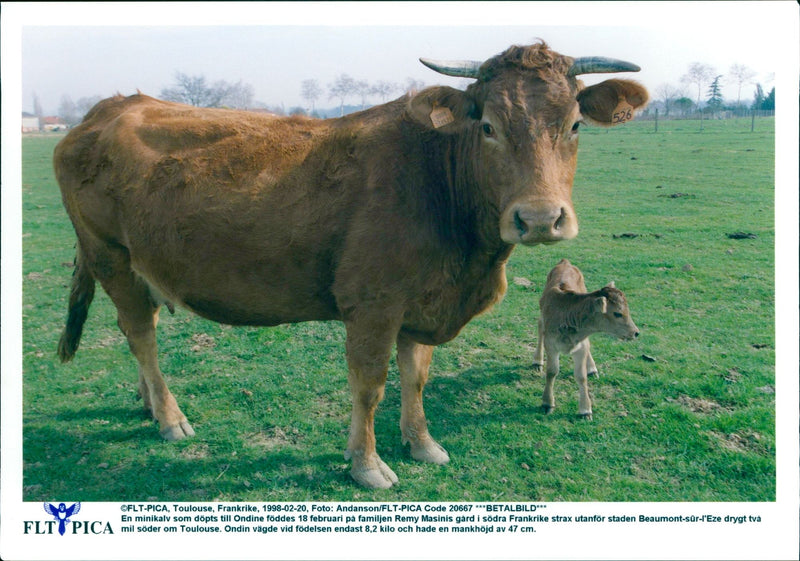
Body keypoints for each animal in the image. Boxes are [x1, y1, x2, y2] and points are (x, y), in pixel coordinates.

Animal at [536, 258, 640, 416]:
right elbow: (552, 371)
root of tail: (565, 262)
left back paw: (592, 368)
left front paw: (585, 410)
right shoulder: (551, 344)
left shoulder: (581, 346)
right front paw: (547, 403)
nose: (635, 332)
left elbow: (581, 376)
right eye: (617, 313)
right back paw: (537, 361)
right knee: (540, 326)